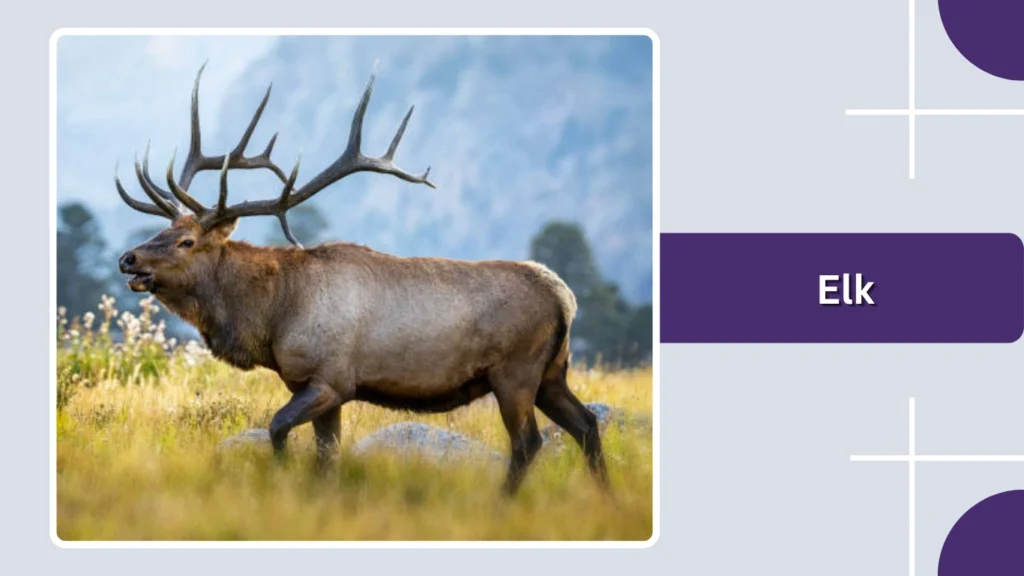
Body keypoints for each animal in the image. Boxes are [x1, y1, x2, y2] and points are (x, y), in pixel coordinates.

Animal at [113, 63, 609, 496]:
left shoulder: (330, 379)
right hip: (552, 372)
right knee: (587, 424)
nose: (128, 258)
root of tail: (565, 297)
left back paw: (501, 503)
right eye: (164, 230)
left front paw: (281, 483)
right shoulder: (318, 389)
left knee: (529, 442)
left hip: (516, 370)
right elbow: (326, 455)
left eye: (187, 241)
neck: (274, 315)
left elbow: (277, 428)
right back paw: (606, 497)